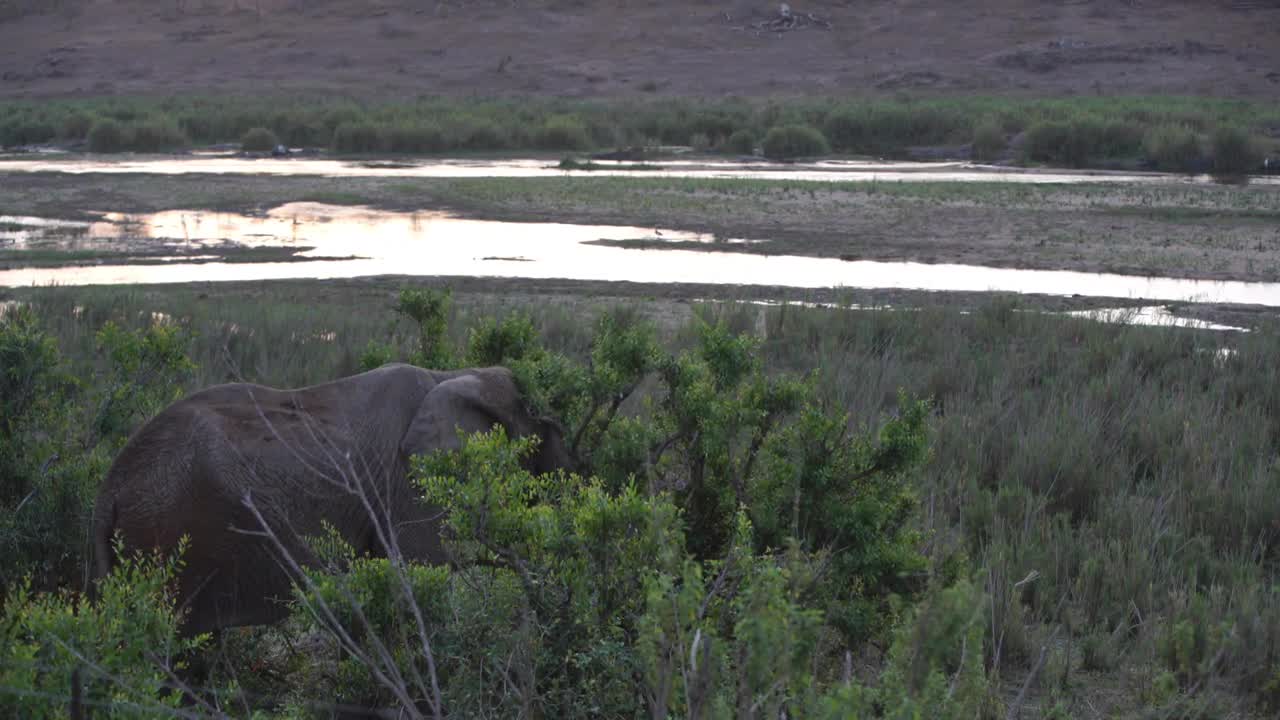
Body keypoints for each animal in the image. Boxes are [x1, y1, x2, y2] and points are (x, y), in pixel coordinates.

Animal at [90, 361, 570, 630]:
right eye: (536, 422)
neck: (456, 376)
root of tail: (109, 490)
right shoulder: (411, 484)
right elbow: (421, 576)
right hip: (175, 534)